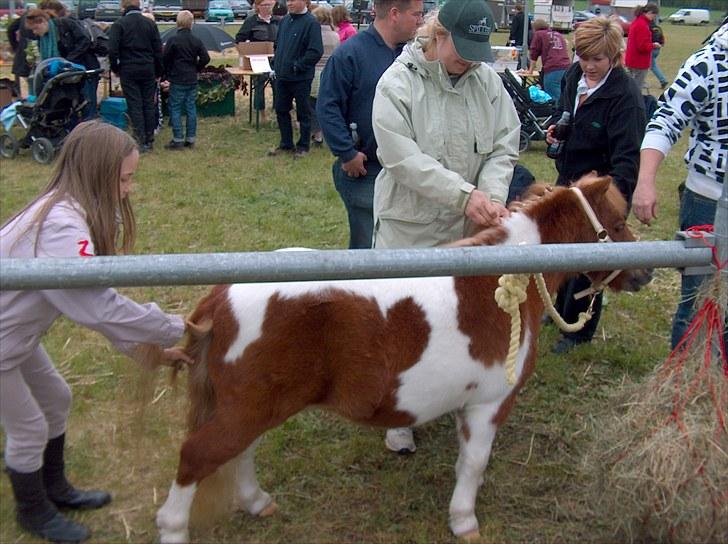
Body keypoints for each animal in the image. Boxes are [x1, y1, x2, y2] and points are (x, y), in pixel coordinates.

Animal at [156, 176, 652, 540]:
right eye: (617, 222)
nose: (645, 274)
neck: (506, 280)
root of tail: (220, 296)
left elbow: (466, 462)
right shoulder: (490, 402)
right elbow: (475, 462)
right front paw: (464, 521)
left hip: (256, 408)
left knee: (241, 452)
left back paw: (257, 502)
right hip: (247, 409)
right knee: (197, 456)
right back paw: (175, 527)